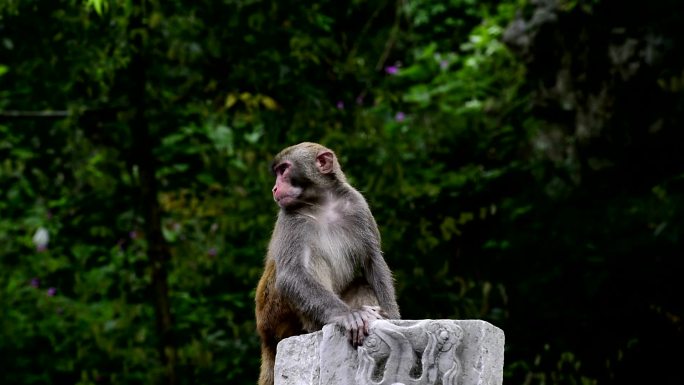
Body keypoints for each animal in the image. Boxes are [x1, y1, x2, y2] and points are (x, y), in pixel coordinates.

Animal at [254, 143, 398, 384]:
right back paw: (317, 326)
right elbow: (292, 273)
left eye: (284, 170)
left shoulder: (357, 205)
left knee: (363, 284)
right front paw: (348, 315)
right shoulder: (290, 218)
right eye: (278, 172)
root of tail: (265, 336)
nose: (275, 188)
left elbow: (373, 260)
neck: (322, 203)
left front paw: (393, 316)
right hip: (273, 313)